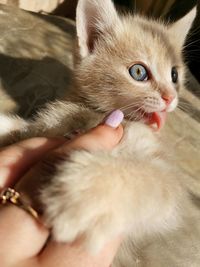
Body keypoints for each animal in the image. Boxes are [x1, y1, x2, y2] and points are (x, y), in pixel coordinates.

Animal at [0, 0, 197, 266]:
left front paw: (82, 194)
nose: (170, 97)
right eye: (138, 72)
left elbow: (148, 177)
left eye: (174, 75)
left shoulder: (168, 179)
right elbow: (19, 128)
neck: (92, 114)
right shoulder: (43, 126)